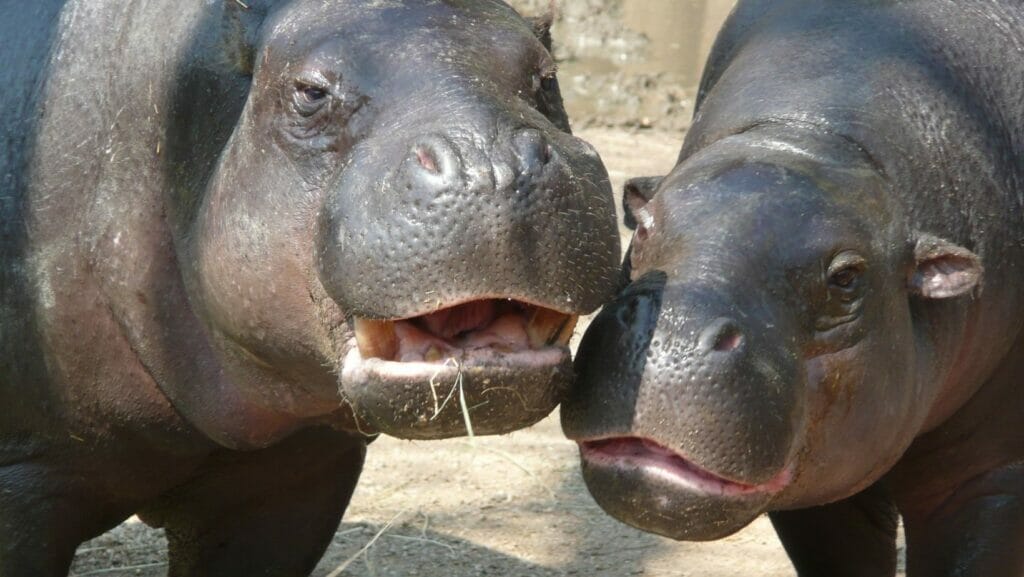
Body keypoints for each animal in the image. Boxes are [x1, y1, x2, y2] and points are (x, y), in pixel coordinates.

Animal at [562, 1, 1024, 575]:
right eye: (643, 225)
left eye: (847, 277)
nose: (672, 339)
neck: (807, 141)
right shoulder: (819, 485)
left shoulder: (988, 478)